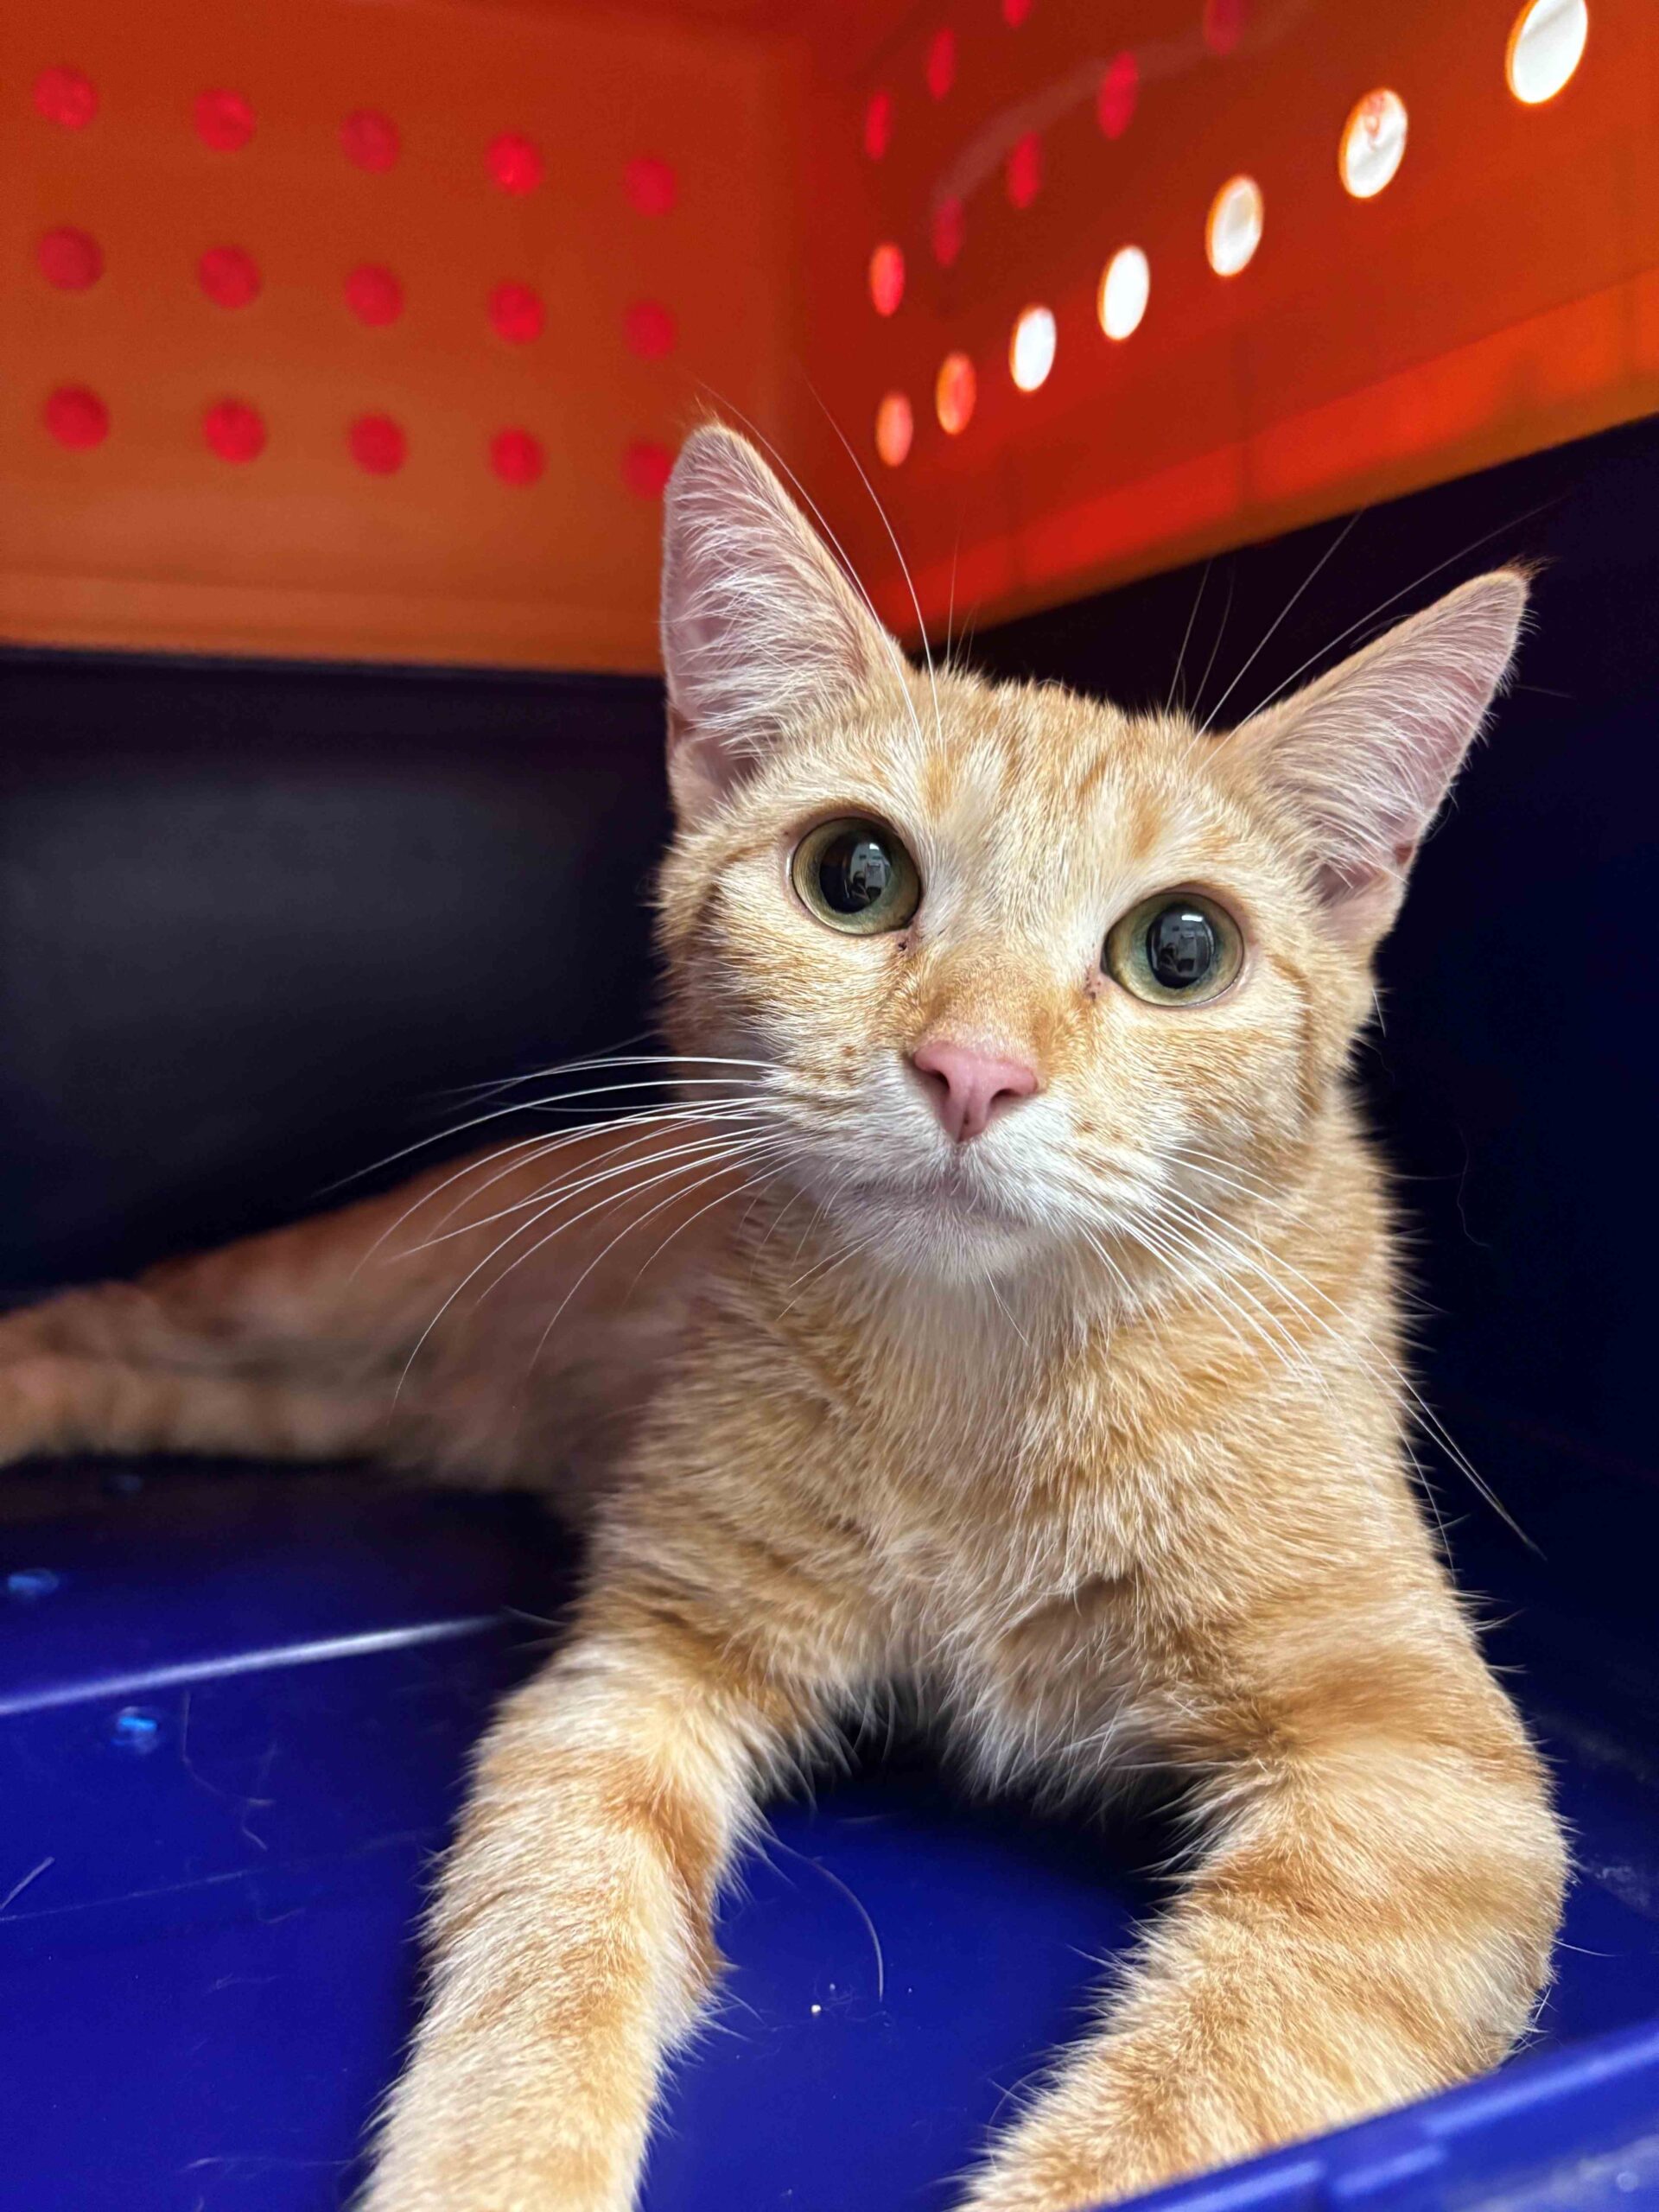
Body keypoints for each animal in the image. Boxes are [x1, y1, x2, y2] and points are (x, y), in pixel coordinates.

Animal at [0, 424, 1564, 2212]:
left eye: (1185, 948)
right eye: (854, 875)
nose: (974, 1069)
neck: (977, 1376)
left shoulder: (1427, 1788)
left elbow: (1217, 2088)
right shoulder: (636, 1670)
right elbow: (552, 1936)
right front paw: (500, 2161)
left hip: (292, 1398)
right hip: (290, 1298)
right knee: (92, 1318)